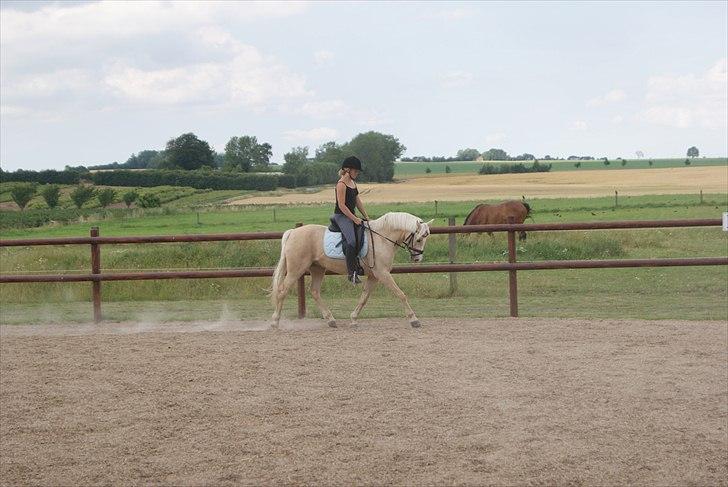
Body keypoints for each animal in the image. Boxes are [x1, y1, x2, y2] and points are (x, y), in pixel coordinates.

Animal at [270, 212, 434, 328]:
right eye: (419, 239)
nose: (418, 259)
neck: (382, 238)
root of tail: (293, 232)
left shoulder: (374, 276)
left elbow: (364, 297)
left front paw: (354, 319)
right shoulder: (383, 274)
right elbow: (401, 294)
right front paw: (414, 319)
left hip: (317, 268)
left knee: (315, 291)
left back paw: (331, 320)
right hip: (296, 269)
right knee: (282, 291)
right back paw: (275, 322)